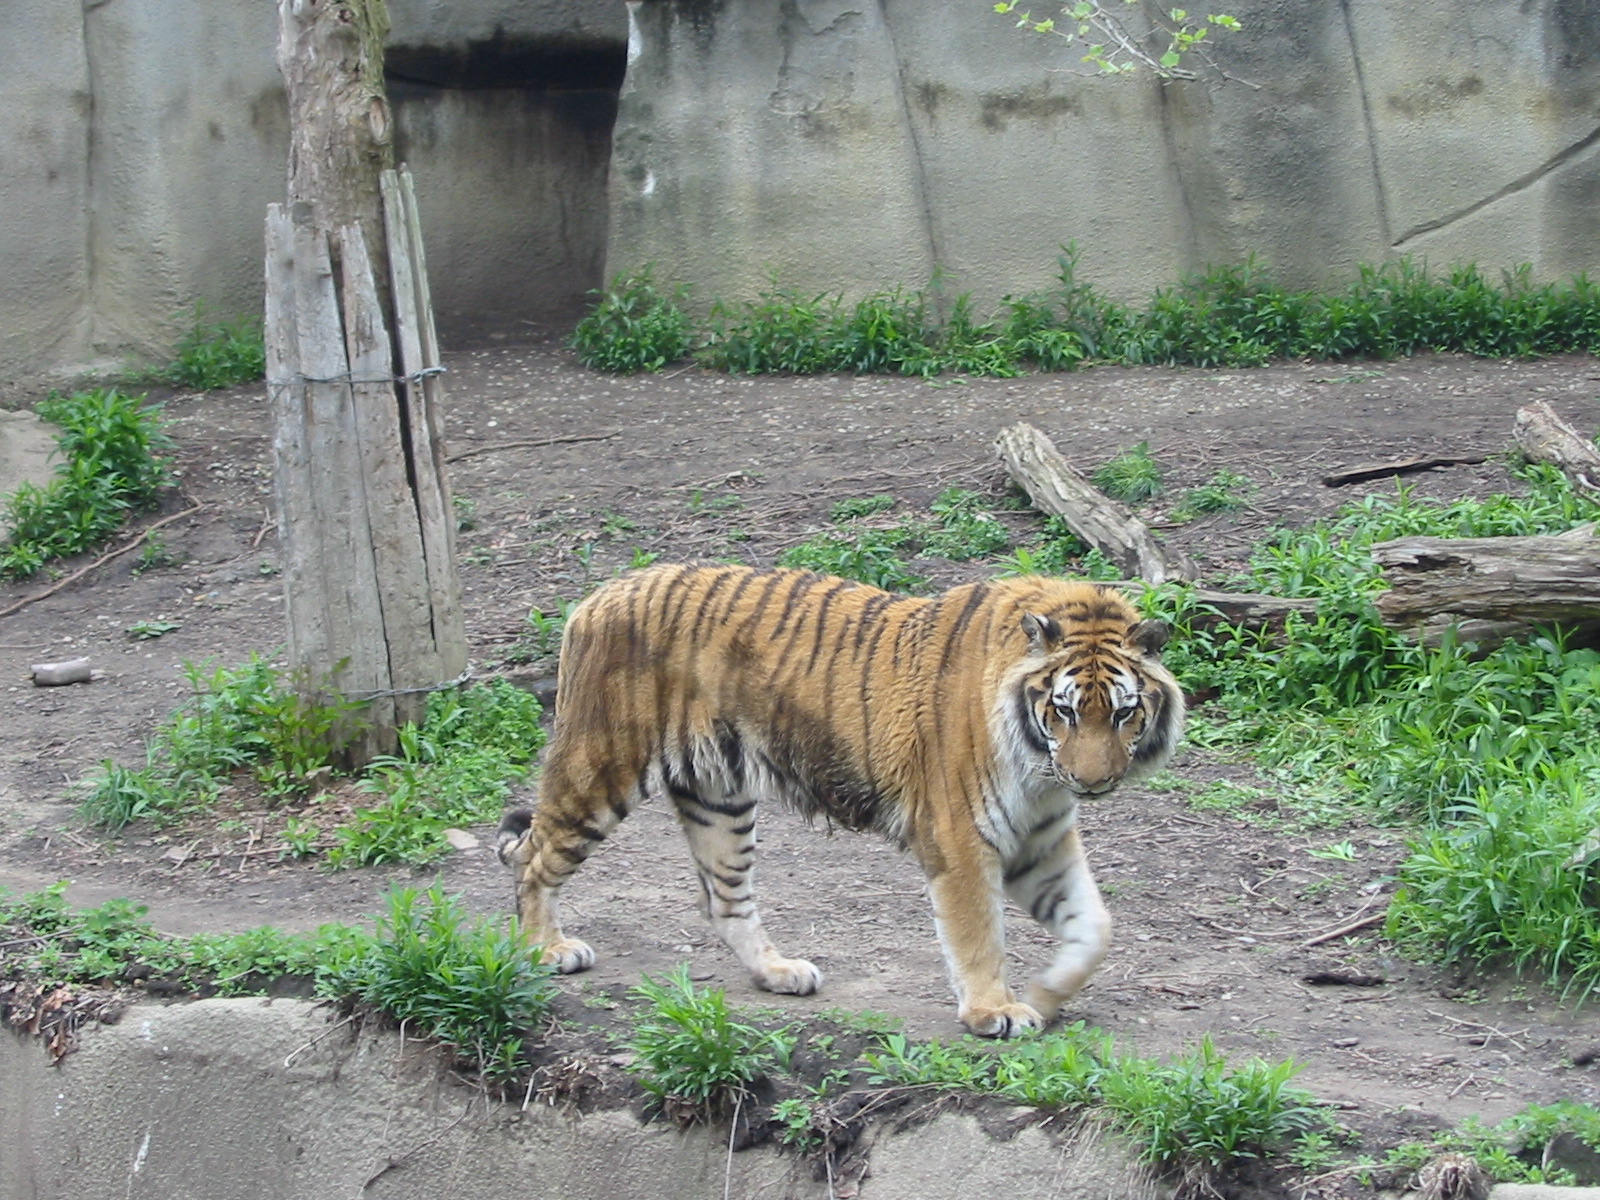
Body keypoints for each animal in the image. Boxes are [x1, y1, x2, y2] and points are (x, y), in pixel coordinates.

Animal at [496, 563, 1184, 1038]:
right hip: (600, 768)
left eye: (1122, 713)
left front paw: (1042, 994)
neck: (1040, 770)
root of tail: (599, 594)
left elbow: (1095, 928)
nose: (1093, 782)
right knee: (532, 857)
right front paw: (994, 1010)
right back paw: (546, 950)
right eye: (1064, 711)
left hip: (720, 798)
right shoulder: (962, 837)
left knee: (724, 899)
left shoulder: (1041, 840)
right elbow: (977, 933)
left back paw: (778, 973)